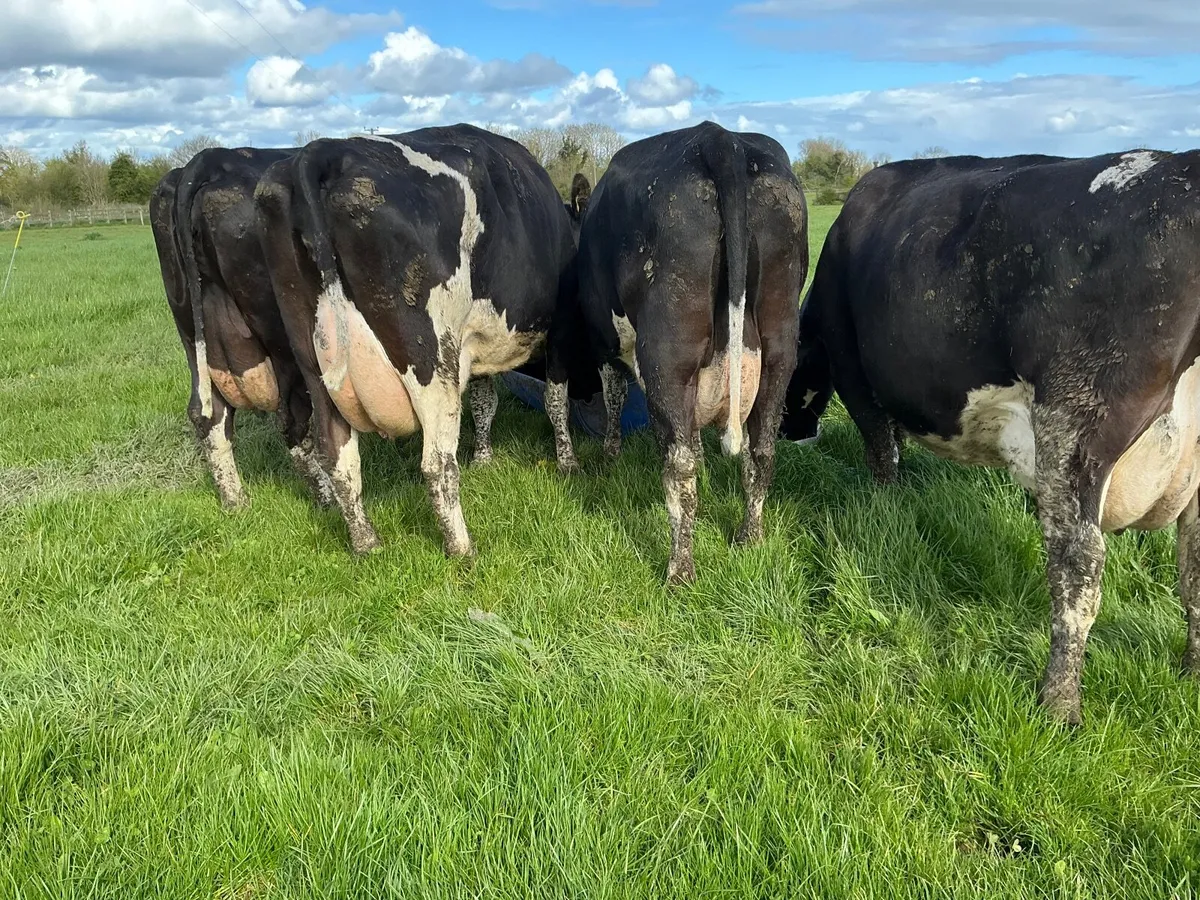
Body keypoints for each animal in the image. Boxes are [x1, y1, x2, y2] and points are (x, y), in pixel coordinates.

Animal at [150, 147, 335, 511]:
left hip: (192, 333)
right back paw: (327, 497)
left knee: (207, 414)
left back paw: (235, 501)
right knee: (296, 423)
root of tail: (210, 158)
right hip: (287, 347)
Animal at [252, 124, 579, 557]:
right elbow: (556, 401)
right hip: (431, 358)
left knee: (337, 454)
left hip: (311, 358)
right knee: (436, 462)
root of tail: (320, 152)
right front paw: (568, 462)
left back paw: (367, 543)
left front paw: (484, 457)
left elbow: (485, 402)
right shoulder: (560, 326)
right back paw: (462, 548)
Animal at [545, 121, 809, 585]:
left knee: (679, 467)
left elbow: (613, 394)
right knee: (761, 452)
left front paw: (609, 454)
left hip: (667, 354)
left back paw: (679, 570)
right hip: (779, 345)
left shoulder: (603, 341)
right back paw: (750, 537)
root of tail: (720, 138)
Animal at [785, 149, 1200, 724]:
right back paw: (1191, 672)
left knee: (1077, 562)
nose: (791, 432)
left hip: (1074, 424)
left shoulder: (855, 375)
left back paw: (1060, 705)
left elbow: (882, 451)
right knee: (1193, 571)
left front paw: (885, 507)